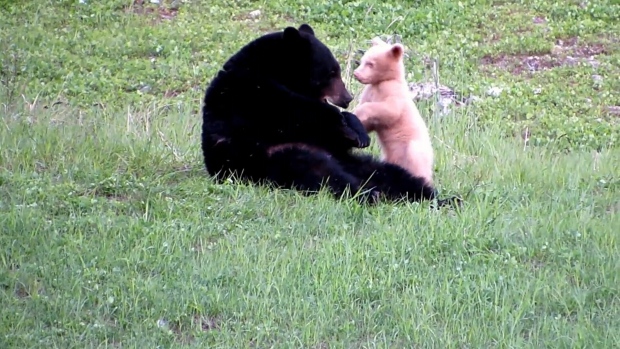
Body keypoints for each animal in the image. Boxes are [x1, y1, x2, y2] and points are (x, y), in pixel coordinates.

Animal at [202, 23, 440, 204]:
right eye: (331, 72)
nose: (347, 98)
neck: (268, 69)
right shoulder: (246, 93)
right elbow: (293, 112)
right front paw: (342, 121)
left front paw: (358, 131)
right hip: (271, 159)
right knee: (324, 175)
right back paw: (369, 194)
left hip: (359, 163)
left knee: (395, 176)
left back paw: (436, 198)